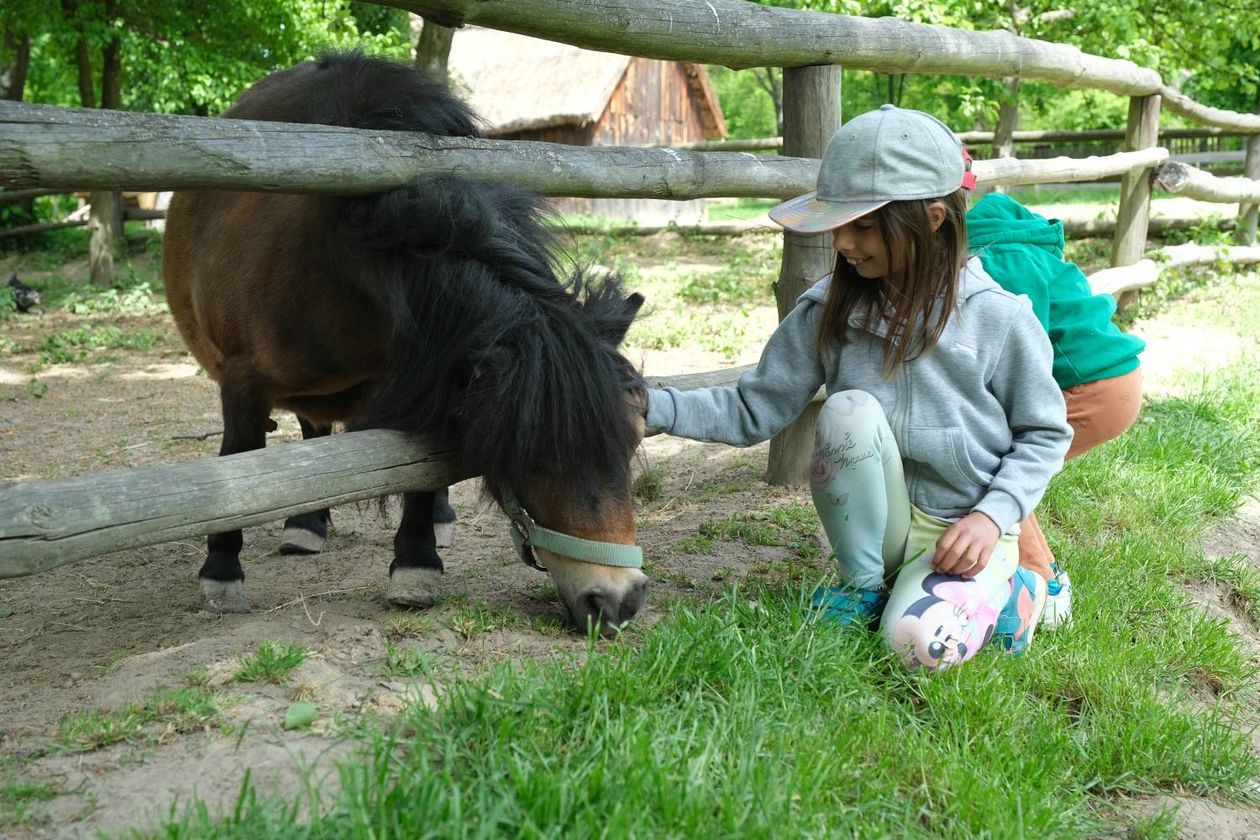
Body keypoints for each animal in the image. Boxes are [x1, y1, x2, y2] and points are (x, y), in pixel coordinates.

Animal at [160, 52, 650, 634]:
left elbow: (420, 464)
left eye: (634, 440)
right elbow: (238, 461)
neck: (332, 244)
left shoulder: (425, 369)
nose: (618, 600)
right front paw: (222, 570)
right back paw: (306, 525)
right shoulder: (242, 380)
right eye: (531, 455)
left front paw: (416, 563)